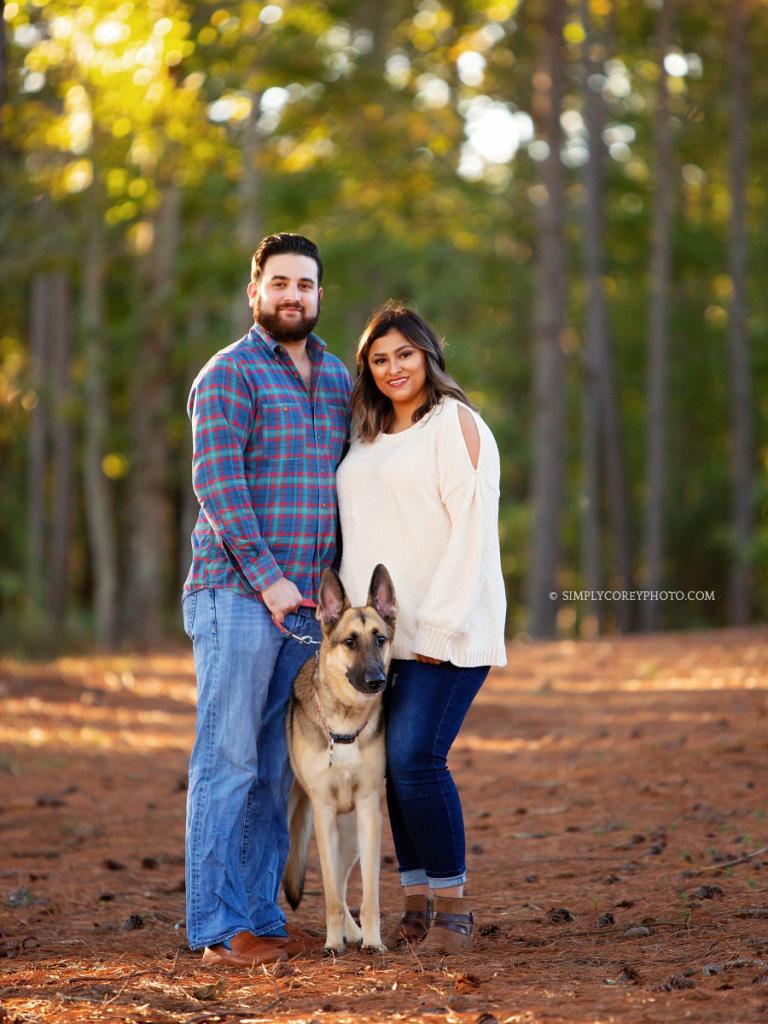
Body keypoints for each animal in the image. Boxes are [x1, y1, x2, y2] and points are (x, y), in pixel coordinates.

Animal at [286, 565, 399, 946]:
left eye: (380, 639)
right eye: (350, 642)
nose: (378, 680)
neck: (346, 723)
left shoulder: (368, 811)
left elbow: (369, 893)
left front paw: (373, 942)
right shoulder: (323, 812)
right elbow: (331, 894)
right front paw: (332, 943)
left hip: (350, 834)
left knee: (345, 878)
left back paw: (355, 932)